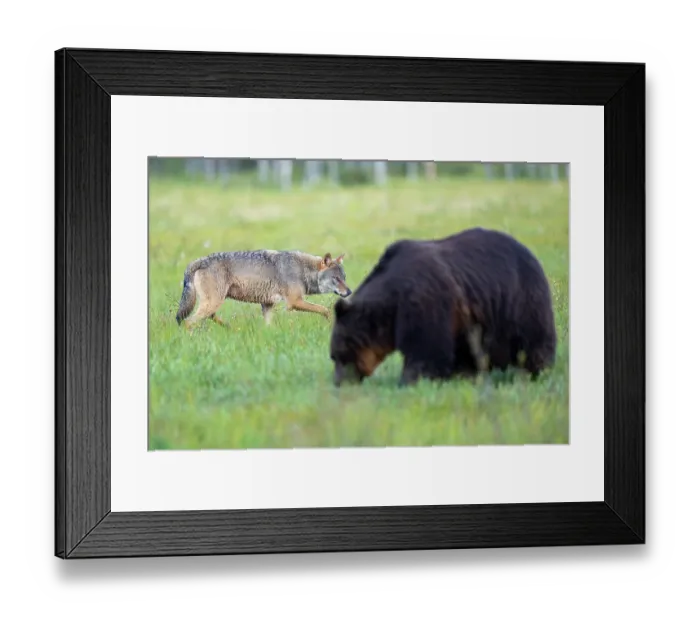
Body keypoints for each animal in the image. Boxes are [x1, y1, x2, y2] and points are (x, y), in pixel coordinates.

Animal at [175, 249, 351, 328]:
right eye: (336, 279)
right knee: (188, 322)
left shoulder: (267, 305)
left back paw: (230, 328)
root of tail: (198, 261)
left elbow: (269, 327)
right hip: (213, 302)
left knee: (210, 317)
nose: (349, 292)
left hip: (213, 303)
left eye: (344, 278)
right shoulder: (294, 302)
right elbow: (325, 310)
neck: (302, 269)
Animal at [329, 227, 558, 387]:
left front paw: (411, 380)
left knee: (533, 340)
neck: (391, 306)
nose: (339, 382)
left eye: (341, 354)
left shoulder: (423, 300)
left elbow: (425, 348)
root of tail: (530, 253)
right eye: (334, 356)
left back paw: (536, 371)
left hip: (519, 300)